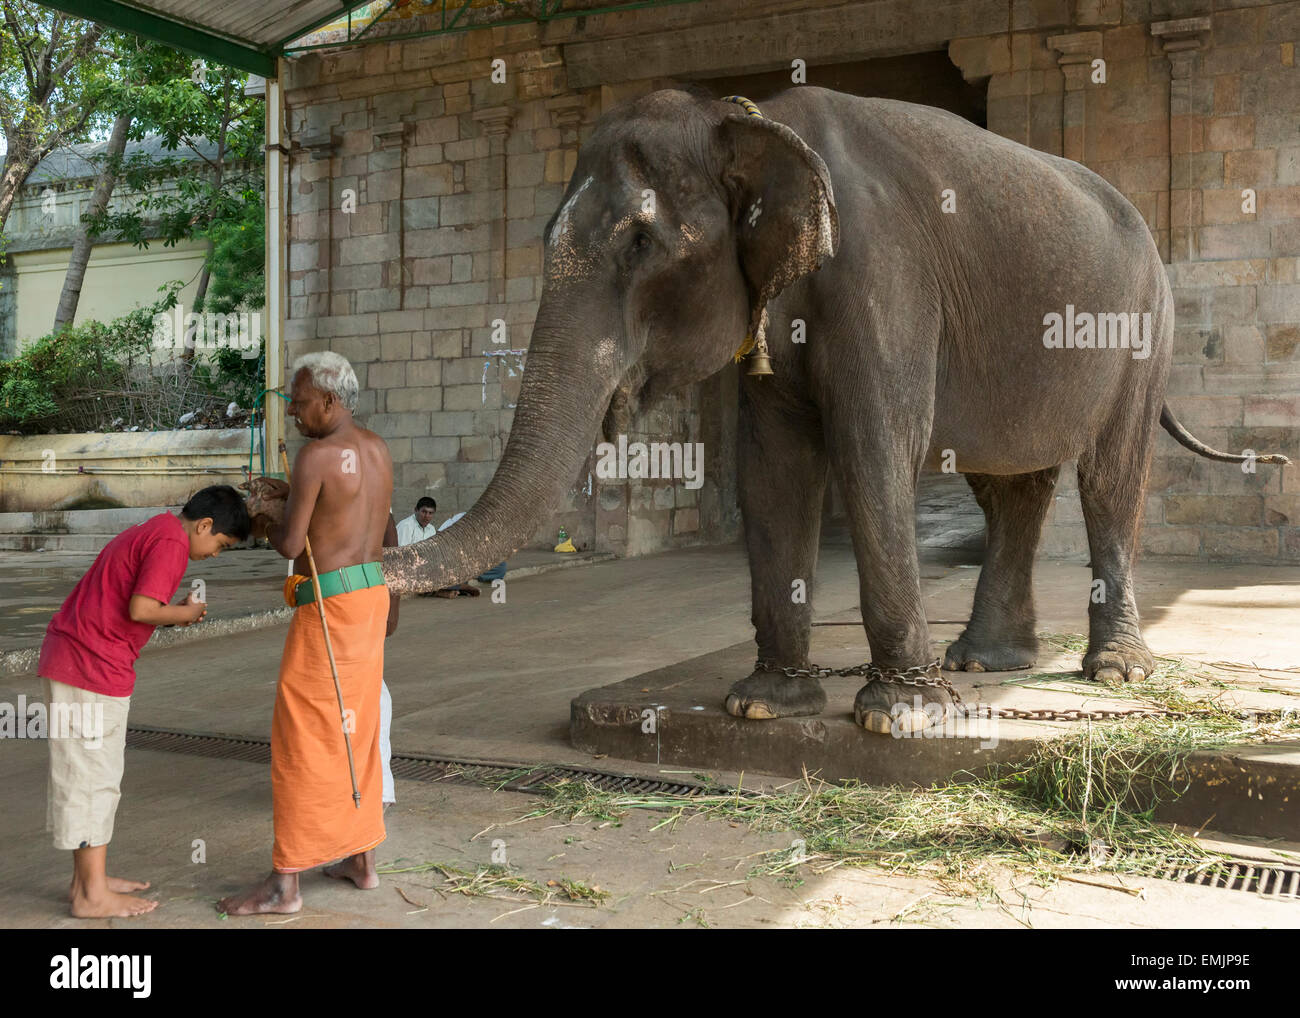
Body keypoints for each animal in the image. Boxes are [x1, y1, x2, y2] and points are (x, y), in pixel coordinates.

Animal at [383, 86, 1288, 734]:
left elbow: (873, 449)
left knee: (1109, 478)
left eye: (641, 244)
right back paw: (984, 663)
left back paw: (1113, 670)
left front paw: (899, 719)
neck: (750, 120)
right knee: (1011, 485)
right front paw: (760, 705)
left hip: (1143, 329)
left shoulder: (884, 274)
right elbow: (775, 467)